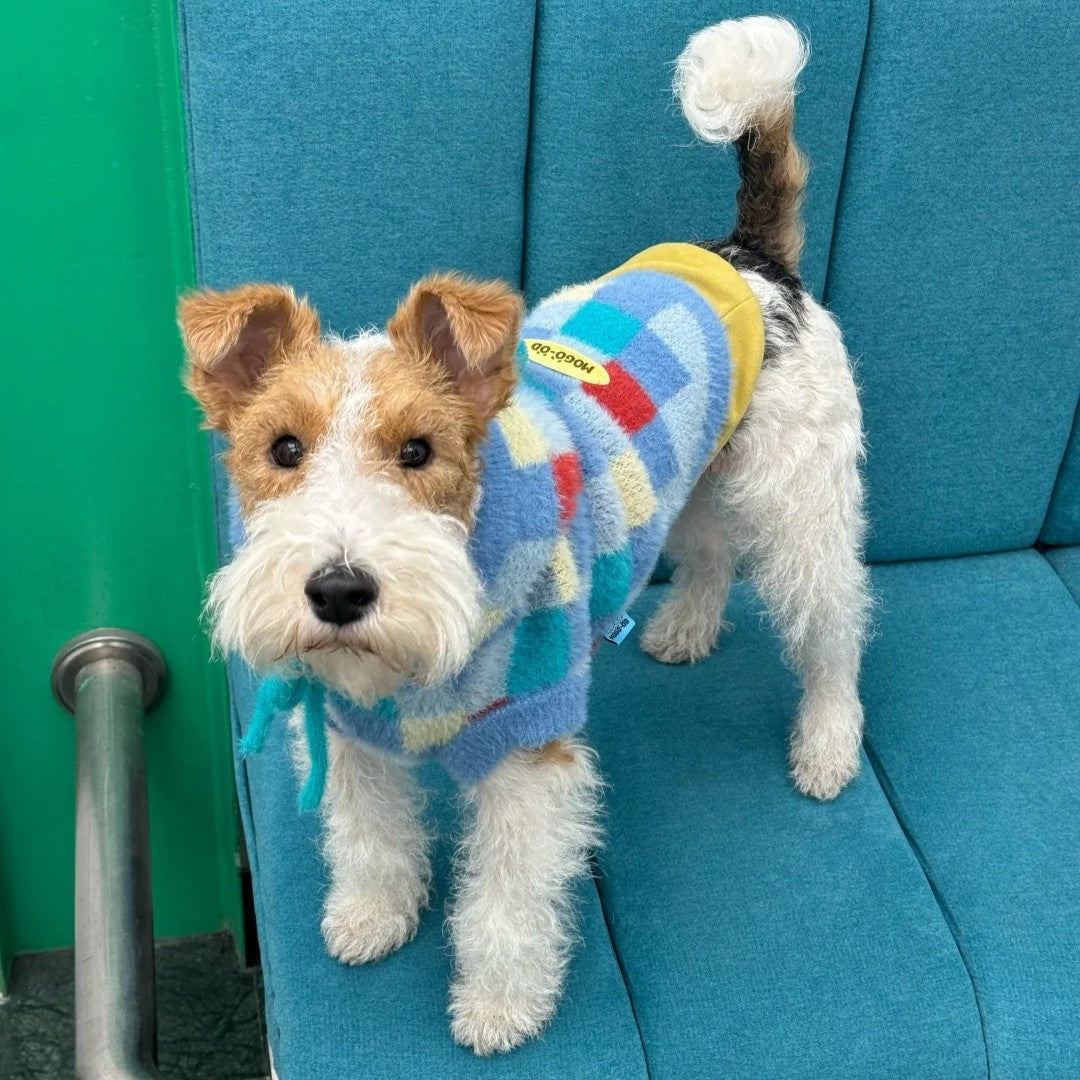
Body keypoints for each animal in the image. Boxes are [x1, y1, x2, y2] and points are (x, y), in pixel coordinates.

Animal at [177, 19, 868, 1054]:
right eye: (282, 448)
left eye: (419, 450)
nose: (339, 591)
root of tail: (747, 257)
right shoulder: (349, 733)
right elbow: (370, 839)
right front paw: (373, 917)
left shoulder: (526, 755)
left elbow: (505, 903)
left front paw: (500, 1007)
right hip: (705, 477)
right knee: (710, 553)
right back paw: (685, 629)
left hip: (802, 503)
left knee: (833, 624)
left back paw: (827, 745)